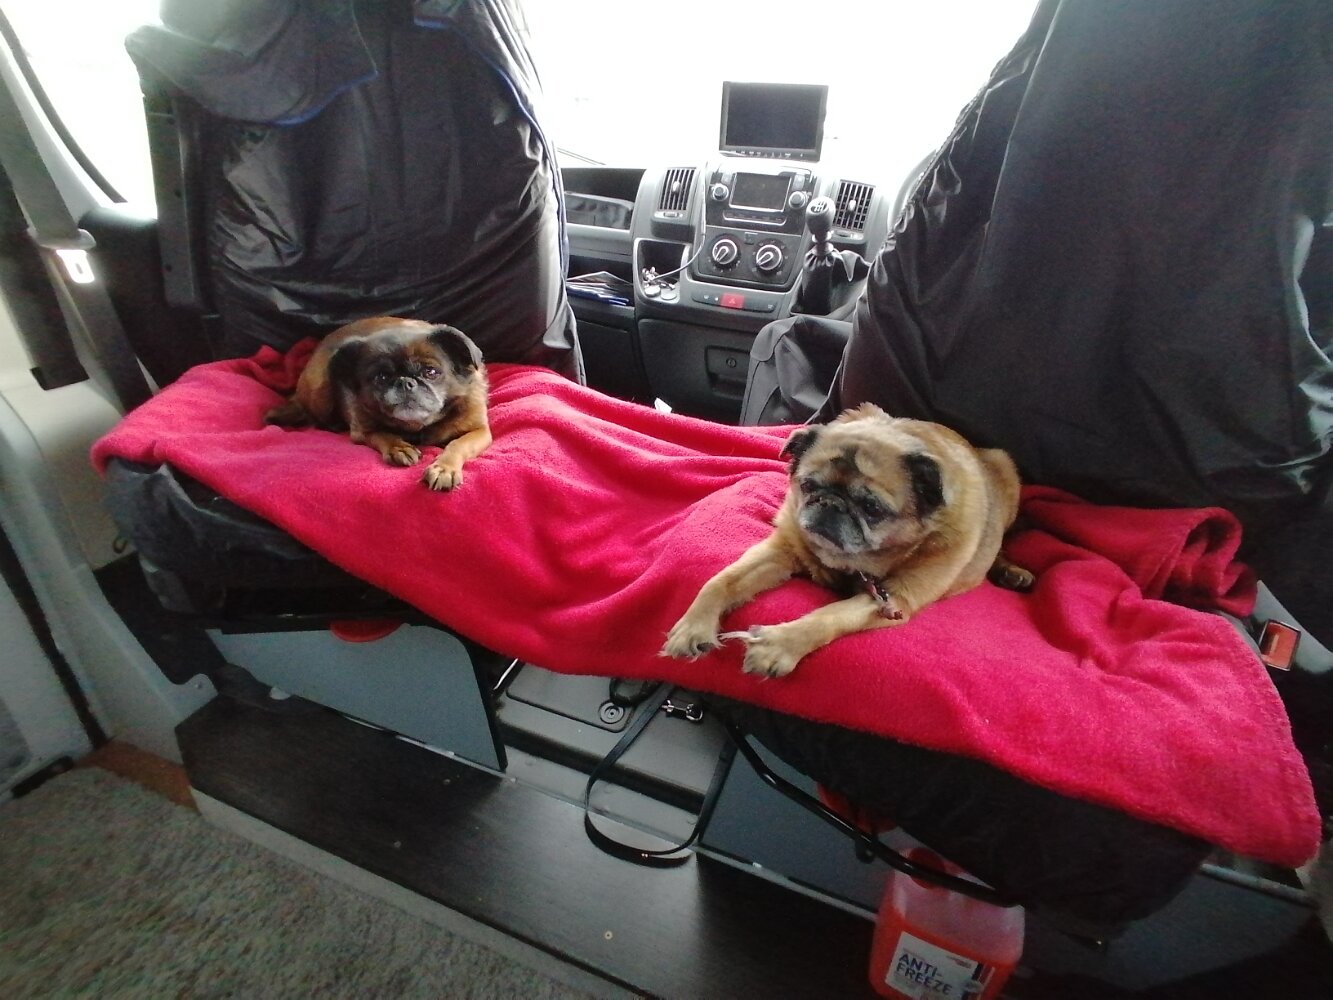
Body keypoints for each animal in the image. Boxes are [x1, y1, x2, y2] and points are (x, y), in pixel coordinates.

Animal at [265, 316, 491, 491]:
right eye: (381, 377)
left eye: (431, 372)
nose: (405, 382)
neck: (417, 426)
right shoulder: (362, 431)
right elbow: (383, 434)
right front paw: (399, 447)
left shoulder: (480, 432)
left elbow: (457, 444)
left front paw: (444, 468)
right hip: (320, 388)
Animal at [661, 403, 1033, 677]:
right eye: (808, 486)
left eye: (871, 507)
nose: (831, 503)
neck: (854, 563)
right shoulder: (778, 551)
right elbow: (721, 581)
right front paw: (693, 627)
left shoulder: (893, 600)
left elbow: (829, 617)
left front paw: (778, 645)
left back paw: (1010, 571)